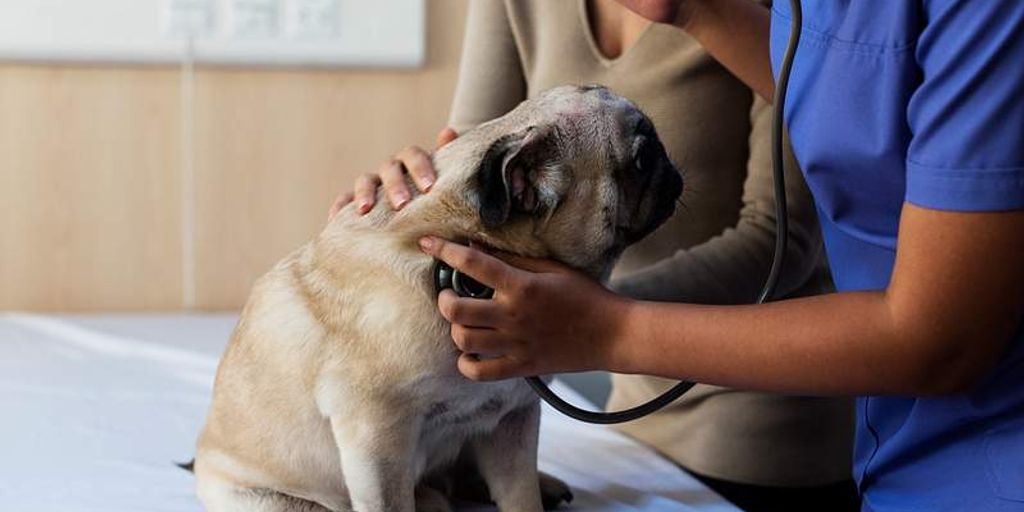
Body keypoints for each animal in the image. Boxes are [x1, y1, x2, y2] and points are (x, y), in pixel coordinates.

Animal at [192, 84, 684, 512]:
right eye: (642, 159)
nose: (673, 167)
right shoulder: (377, 436)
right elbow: (390, 503)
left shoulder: (513, 418)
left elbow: (519, 495)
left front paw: (529, 494)